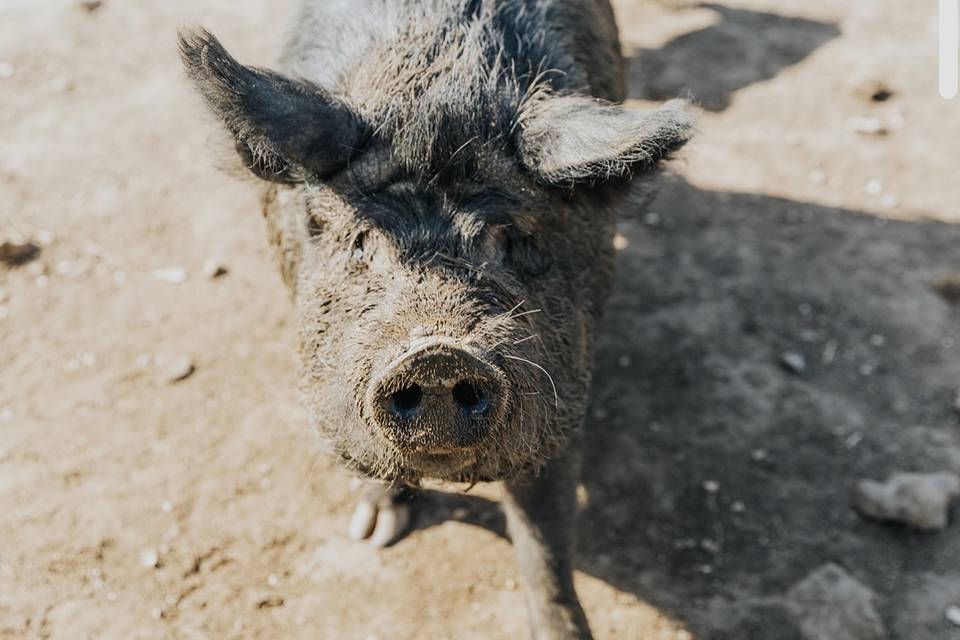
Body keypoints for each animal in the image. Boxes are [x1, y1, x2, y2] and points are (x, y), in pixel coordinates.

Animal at [179, 1, 694, 638]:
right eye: (364, 241)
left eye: (510, 239)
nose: (437, 354)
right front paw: (376, 534)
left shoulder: (563, 381)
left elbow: (543, 535)